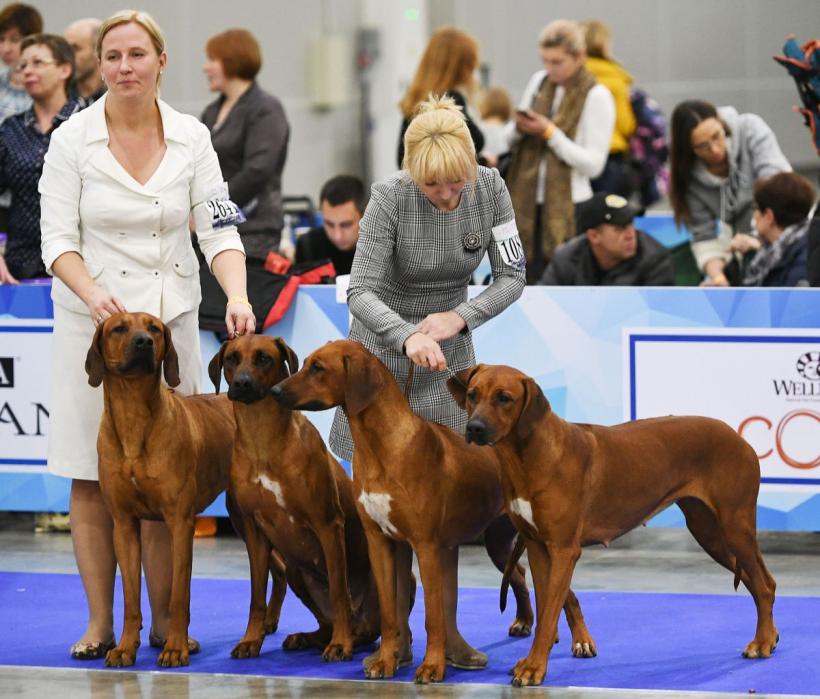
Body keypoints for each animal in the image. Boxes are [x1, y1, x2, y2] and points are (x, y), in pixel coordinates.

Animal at [85, 312, 243, 668]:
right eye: (119, 328)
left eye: (154, 328)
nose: (143, 342)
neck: (133, 416)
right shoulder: (124, 525)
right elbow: (130, 599)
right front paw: (125, 648)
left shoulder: (180, 523)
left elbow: (178, 596)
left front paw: (175, 647)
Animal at [208, 334, 382, 660]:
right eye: (232, 358)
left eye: (264, 358)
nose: (242, 383)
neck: (263, 439)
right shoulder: (253, 530)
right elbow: (256, 595)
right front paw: (251, 640)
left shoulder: (328, 524)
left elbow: (339, 591)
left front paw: (340, 645)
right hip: (297, 573)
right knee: (323, 620)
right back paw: (307, 638)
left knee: (363, 625)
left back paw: (345, 639)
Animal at [274, 342, 596, 688]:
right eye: (305, 362)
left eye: (317, 367)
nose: (275, 390)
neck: (381, 447)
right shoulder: (380, 541)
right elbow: (390, 612)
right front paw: (386, 661)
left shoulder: (427, 545)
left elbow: (434, 615)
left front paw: (432, 667)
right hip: (501, 542)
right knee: (521, 575)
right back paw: (526, 622)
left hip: (544, 539)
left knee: (565, 594)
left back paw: (581, 640)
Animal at [452, 366, 780, 688]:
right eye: (472, 395)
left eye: (504, 398)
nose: (474, 428)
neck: (528, 456)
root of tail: (739, 437)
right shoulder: (537, 547)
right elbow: (546, 605)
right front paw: (535, 661)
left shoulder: (563, 549)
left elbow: (549, 614)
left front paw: (534, 668)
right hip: (709, 532)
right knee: (759, 581)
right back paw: (771, 636)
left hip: (734, 526)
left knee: (764, 584)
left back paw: (761, 642)